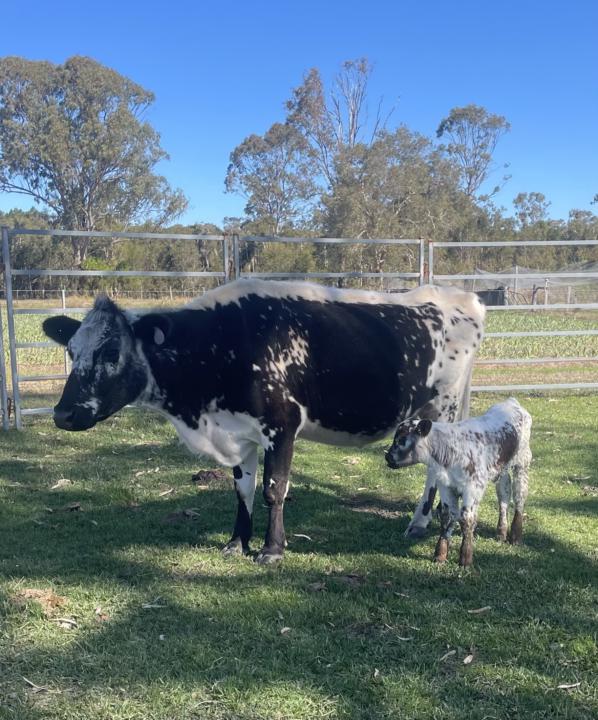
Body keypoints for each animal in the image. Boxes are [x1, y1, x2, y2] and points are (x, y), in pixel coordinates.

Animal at [42, 279, 485, 564]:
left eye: (110, 351)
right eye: (71, 350)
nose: (63, 414)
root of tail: (461, 296)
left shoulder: (281, 426)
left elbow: (274, 489)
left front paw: (272, 549)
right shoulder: (238, 432)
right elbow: (243, 490)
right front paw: (237, 543)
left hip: (444, 407)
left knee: (435, 472)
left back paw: (424, 525)